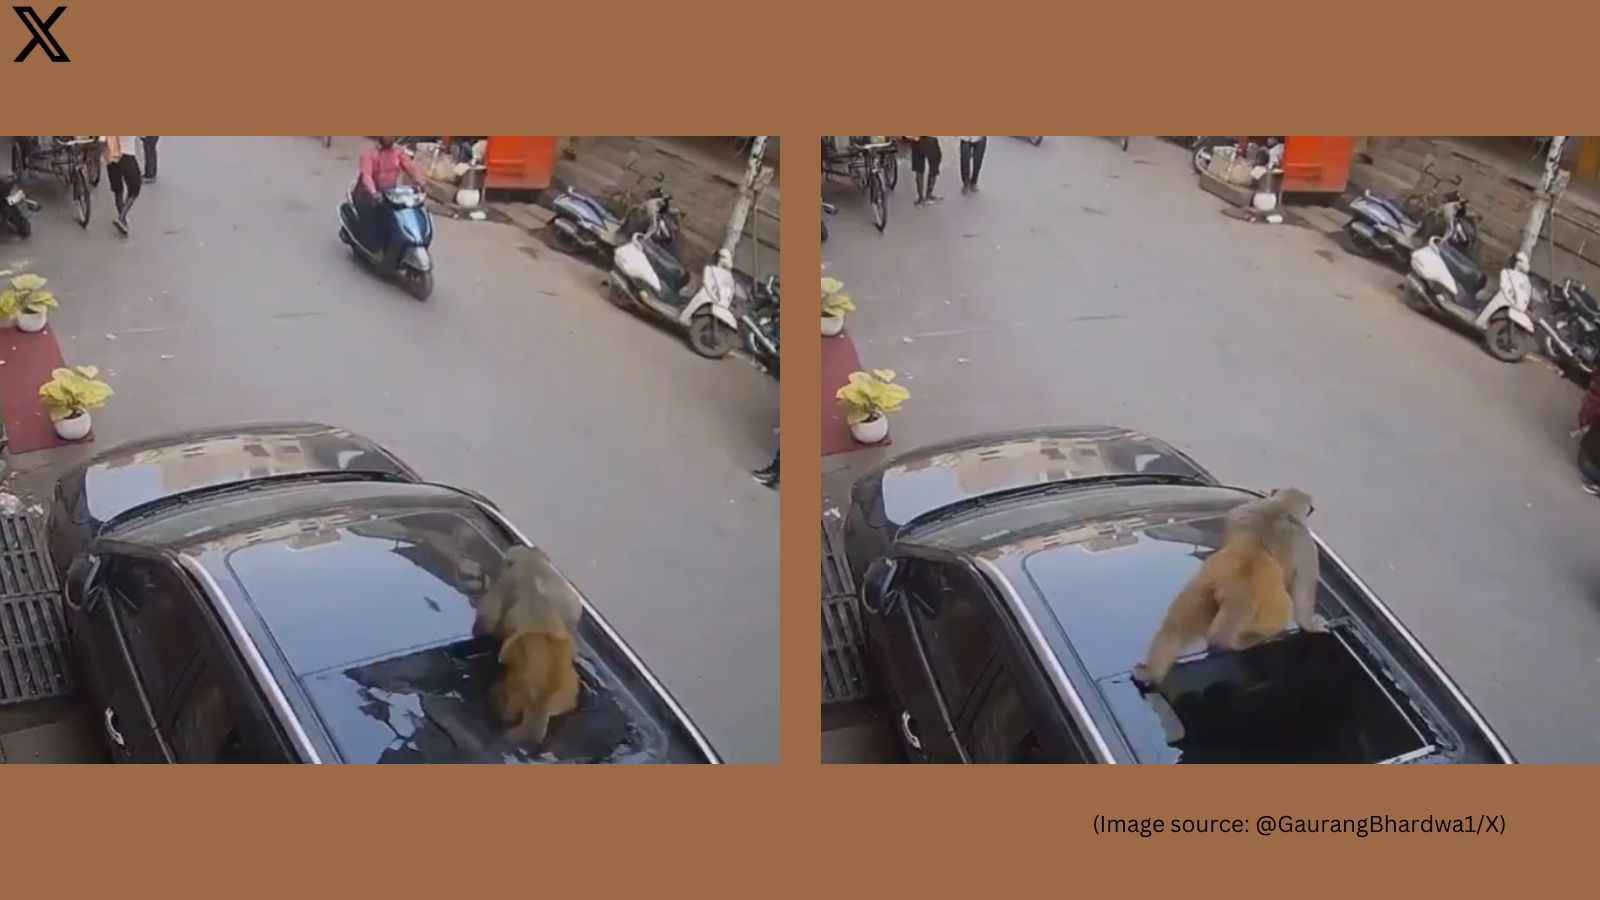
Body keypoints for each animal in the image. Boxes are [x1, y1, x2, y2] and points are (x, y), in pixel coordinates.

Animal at [473, 544, 588, 746]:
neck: (531, 563)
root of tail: (542, 704)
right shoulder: (568, 596)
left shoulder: (504, 584)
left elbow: (486, 619)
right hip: (568, 694)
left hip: (513, 693)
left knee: (502, 701)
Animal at [1132, 486, 1331, 682]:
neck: (1281, 508)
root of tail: (1234, 584)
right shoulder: (1304, 542)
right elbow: (1303, 589)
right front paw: (1311, 624)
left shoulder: (1247, 510)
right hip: (1265, 608)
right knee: (1282, 609)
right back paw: (1246, 641)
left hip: (1204, 586)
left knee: (1175, 628)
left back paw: (1152, 670)